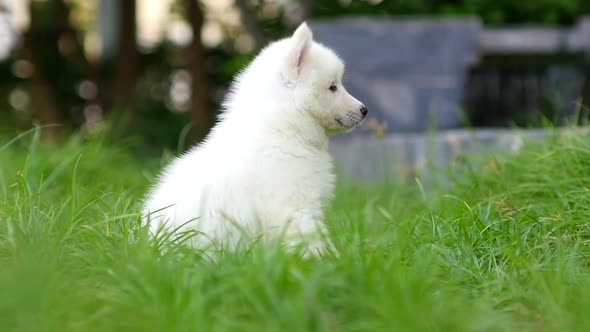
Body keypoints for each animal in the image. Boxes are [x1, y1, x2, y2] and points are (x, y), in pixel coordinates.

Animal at [143, 22, 368, 256]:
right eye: (333, 87)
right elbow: (311, 239)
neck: (283, 127)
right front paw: (326, 259)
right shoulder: (296, 205)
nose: (364, 110)